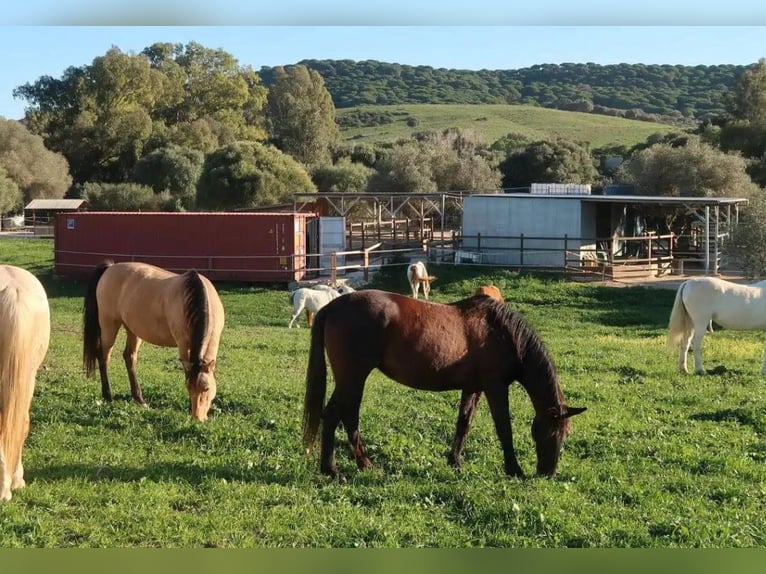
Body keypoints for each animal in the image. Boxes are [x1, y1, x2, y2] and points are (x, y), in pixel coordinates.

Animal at [82, 262, 225, 424]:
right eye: (188, 387)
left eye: (206, 388)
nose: (197, 418)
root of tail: (110, 268)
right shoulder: (183, 346)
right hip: (109, 325)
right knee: (104, 357)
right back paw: (108, 396)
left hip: (133, 329)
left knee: (129, 357)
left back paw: (139, 399)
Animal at [302, 288, 588, 482]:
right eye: (551, 433)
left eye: (566, 434)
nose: (547, 473)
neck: (502, 332)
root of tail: (331, 307)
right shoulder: (496, 387)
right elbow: (503, 428)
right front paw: (514, 469)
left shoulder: (473, 388)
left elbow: (464, 423)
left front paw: (456, 461)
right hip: (352, 377)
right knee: (334, 416)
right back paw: (333, 470)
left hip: (353, 380)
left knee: (347, 417)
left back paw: (362, 465)